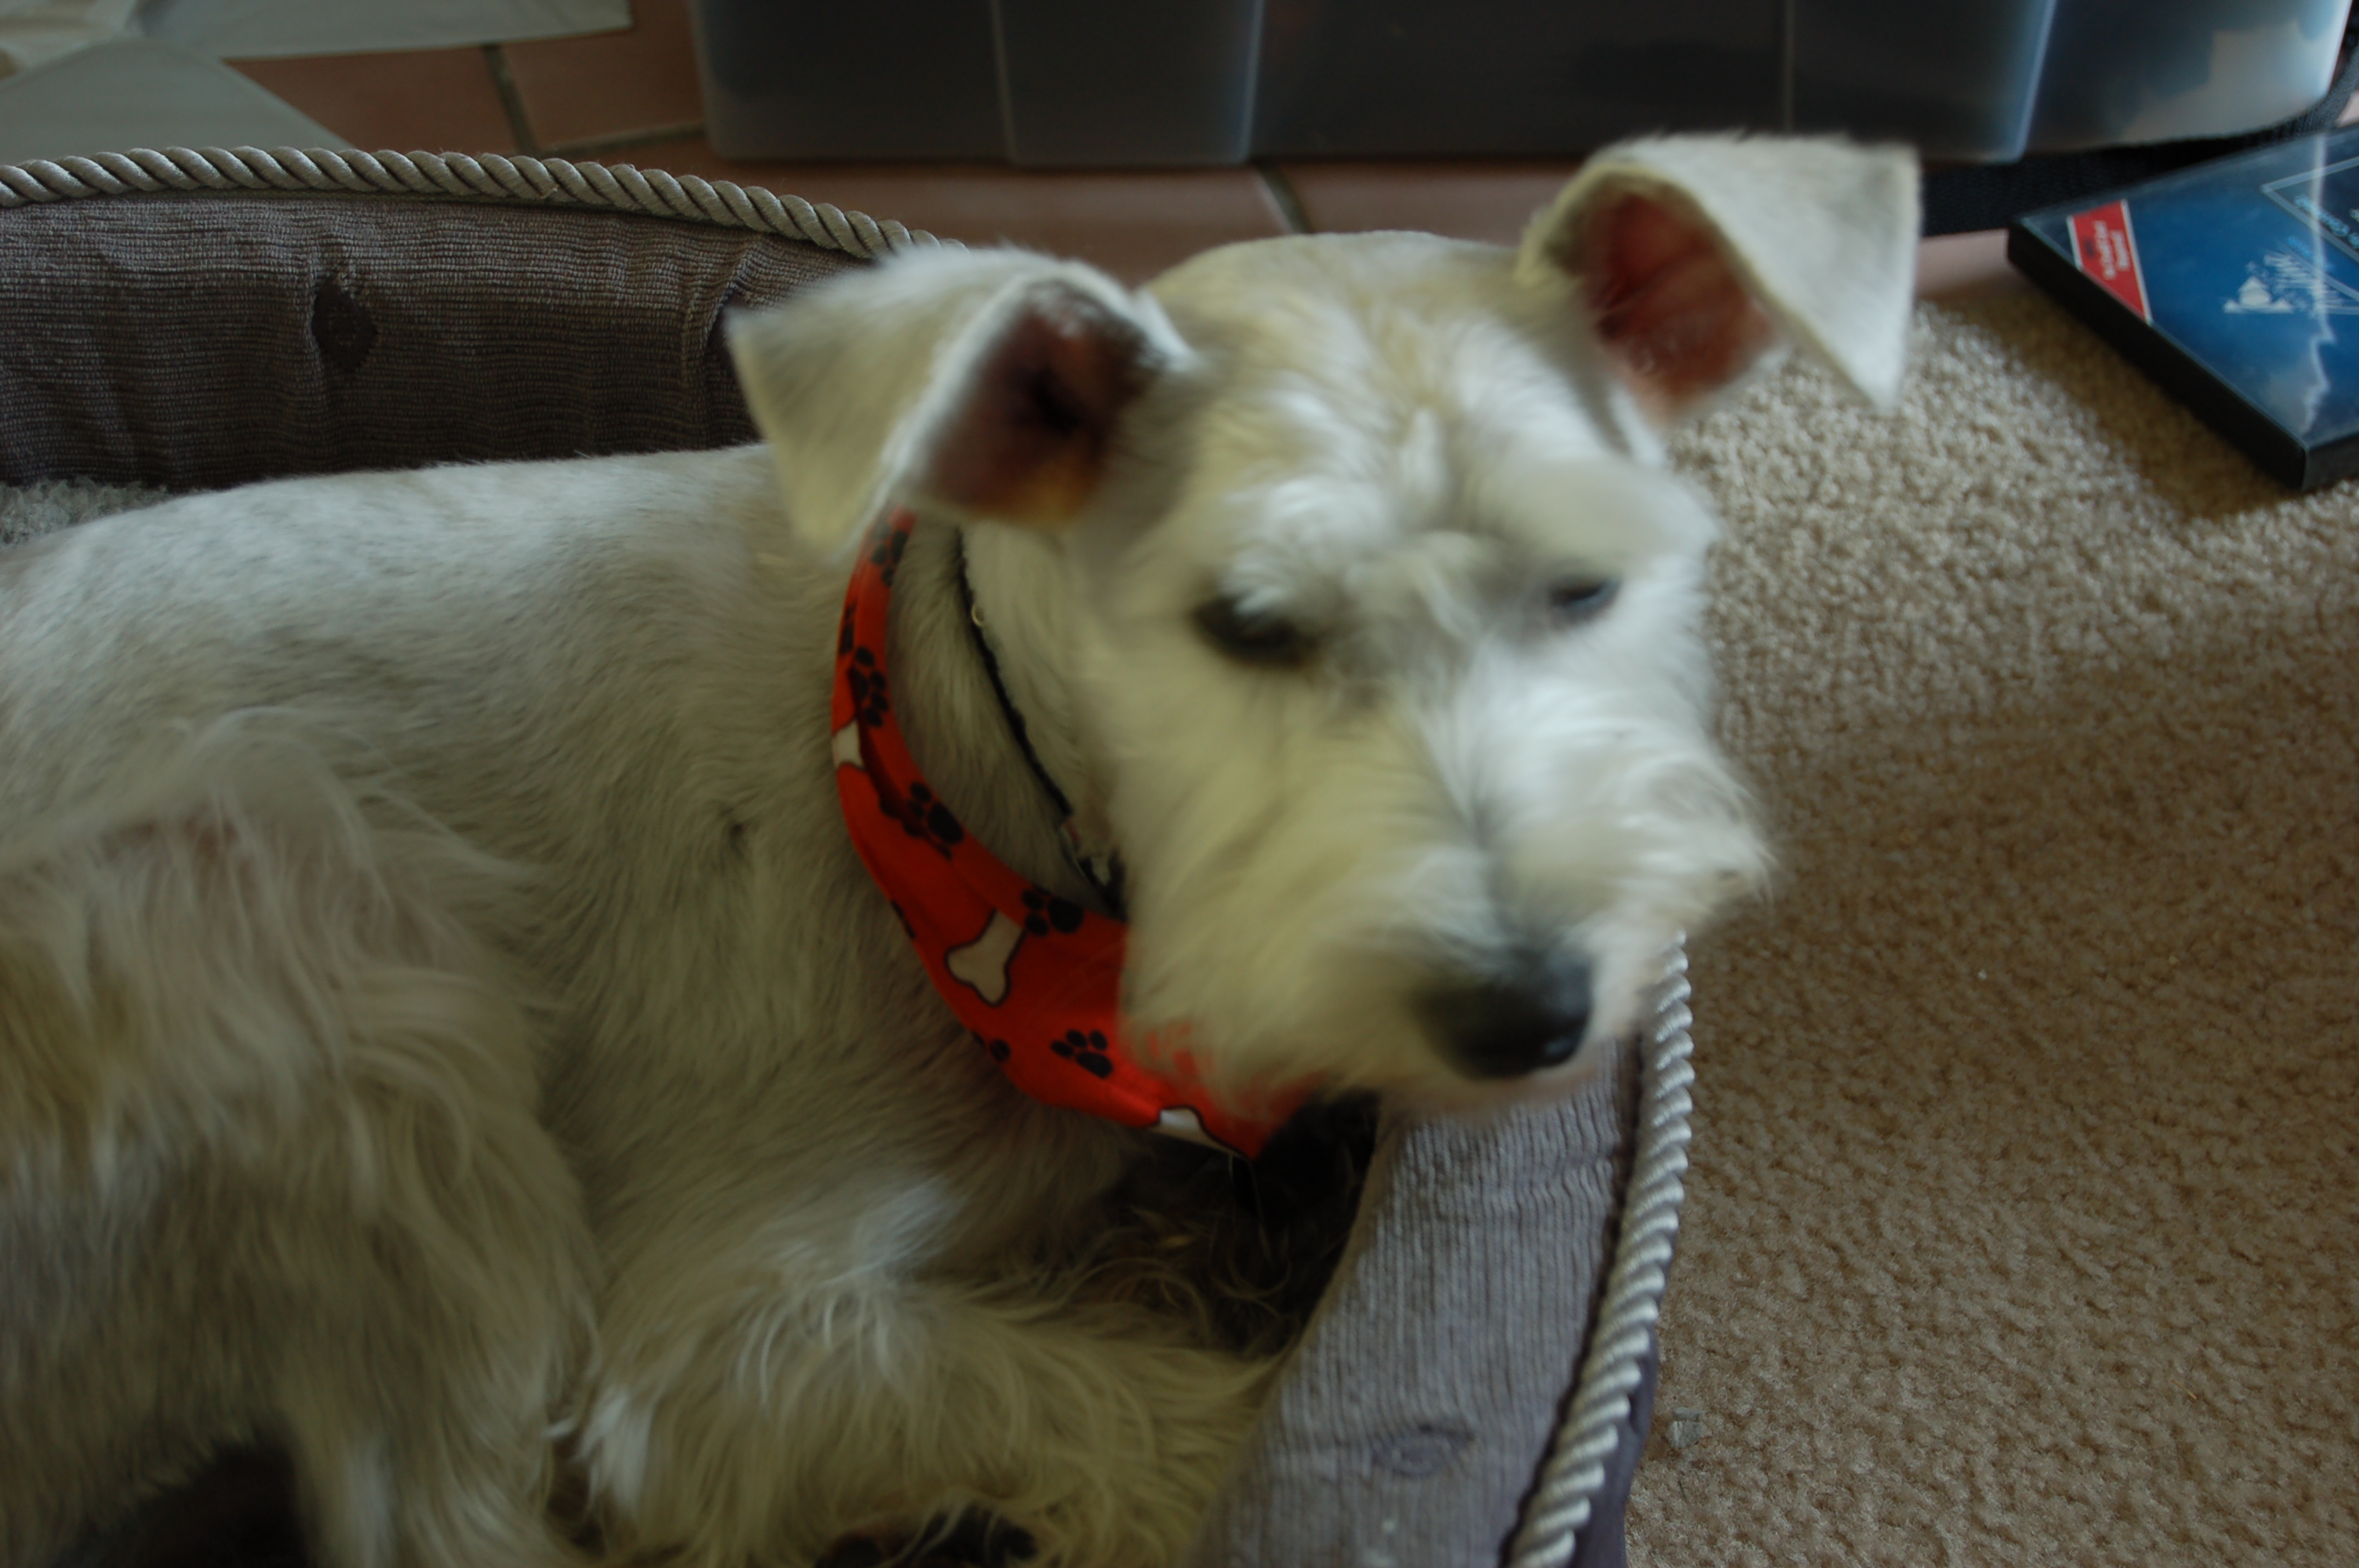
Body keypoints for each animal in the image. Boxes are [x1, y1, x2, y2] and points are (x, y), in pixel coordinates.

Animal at [0, 134, 1916, 1568]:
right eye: (1241, 623)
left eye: (1588, 583)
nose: (1528, 1012)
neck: (971, 801)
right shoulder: (714, 1348)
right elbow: (1145, 1417)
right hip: (289, 937)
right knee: (443, 1526)